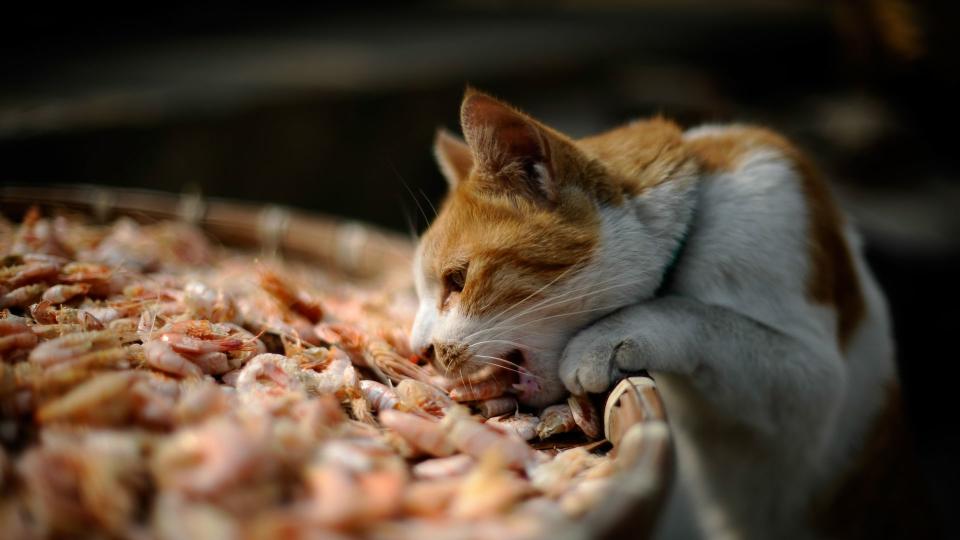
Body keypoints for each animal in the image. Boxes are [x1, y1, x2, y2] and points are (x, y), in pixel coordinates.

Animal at [408, 89, 932, 540]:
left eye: (458, 280)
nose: (421, 350)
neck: (700, 217)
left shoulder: (813, 383)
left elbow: (695, 312)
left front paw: (604, 340)